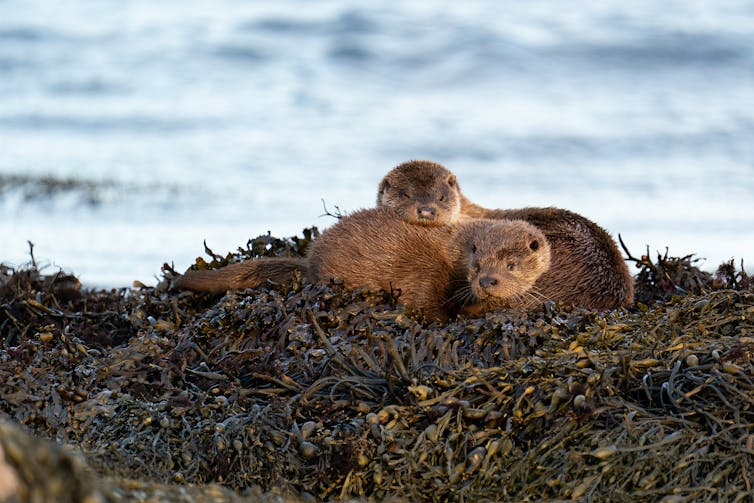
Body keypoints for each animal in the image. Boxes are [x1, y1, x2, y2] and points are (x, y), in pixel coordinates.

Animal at [174, 208, 550, 322]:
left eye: (512, 265)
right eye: (478, 263)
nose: (487, 281)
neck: (452, 246)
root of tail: (310, 260)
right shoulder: (426, 273)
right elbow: (425, 304)